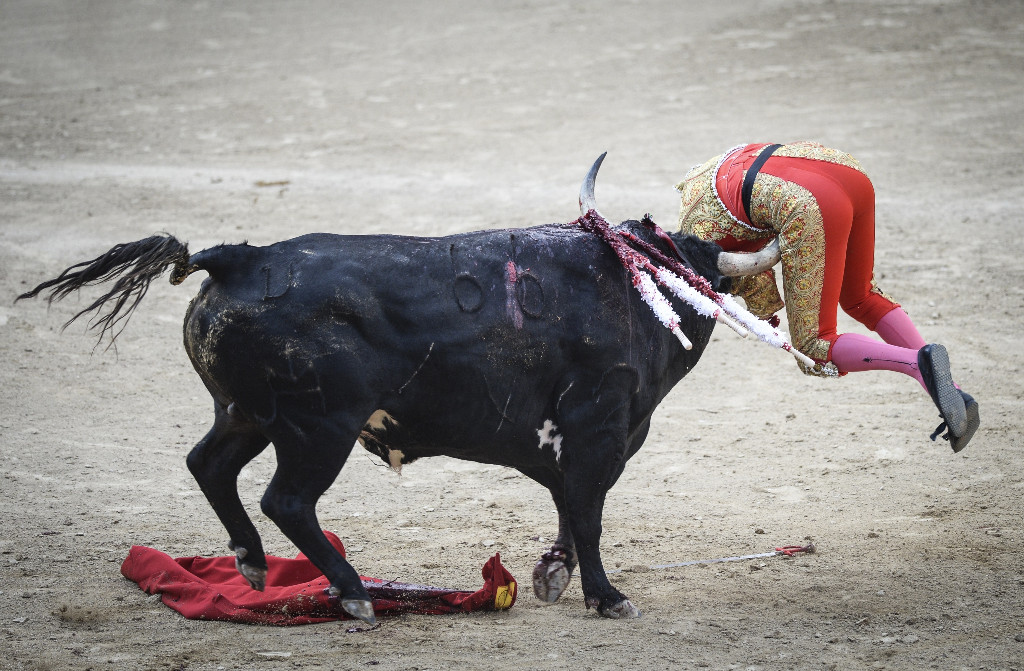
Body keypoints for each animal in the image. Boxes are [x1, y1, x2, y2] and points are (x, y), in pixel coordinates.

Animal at [18, 216, 737, 622]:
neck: (636, 285)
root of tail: (239, 258)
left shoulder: (573, 440)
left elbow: (569, 502)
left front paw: (552, 575)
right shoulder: (599, 427)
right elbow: (587, 512)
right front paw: (606, 596)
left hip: (246, 414)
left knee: (209, 463)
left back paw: (252, 563)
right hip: (318, 428)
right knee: (287, 500)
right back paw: (354, 591)